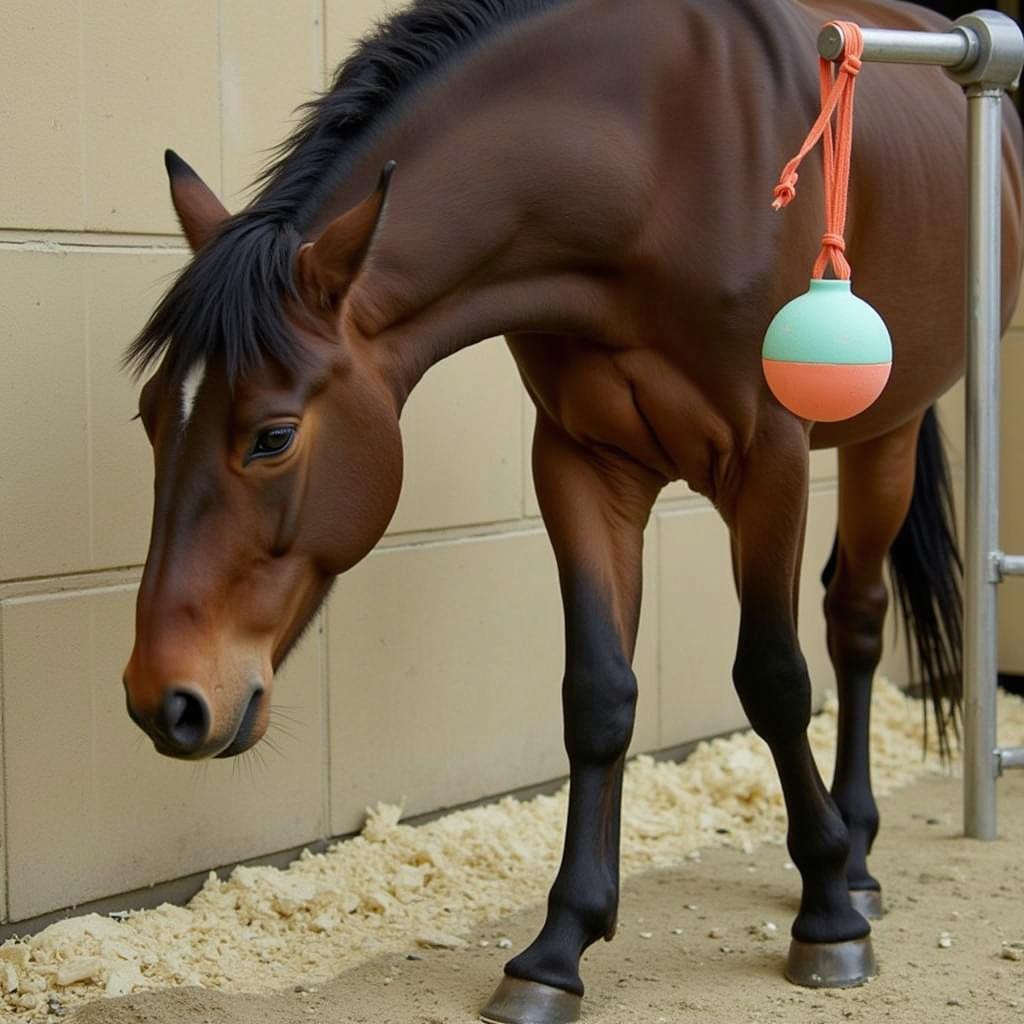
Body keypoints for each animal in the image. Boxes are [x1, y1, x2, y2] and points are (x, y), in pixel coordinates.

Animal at [121, 0, 1024, 1019]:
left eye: (272, 436)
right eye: (150, 415)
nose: (165, 699)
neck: (658, 157)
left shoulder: (771, 458)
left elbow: (775, 679)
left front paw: (827, 912)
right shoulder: (580, 464)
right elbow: (599, 694)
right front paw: (559, 947)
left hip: (886, 435)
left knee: (856, 622)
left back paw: (857, 859)